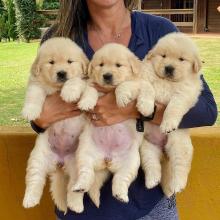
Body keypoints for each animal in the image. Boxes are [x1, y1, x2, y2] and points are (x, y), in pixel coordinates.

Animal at [21, 37, 101, 213]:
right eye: (51, 62)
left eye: (70, 61)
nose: (62, 73)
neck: (57, 87)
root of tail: (60, 161)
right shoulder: (36, 84)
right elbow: (34, 95)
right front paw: (30, 111)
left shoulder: (84, 81)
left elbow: (76, 80)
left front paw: (69, 92)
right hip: (38, 158)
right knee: (34, 180)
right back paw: (30, 200)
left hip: (77, 163)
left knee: (74, 187)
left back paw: (76, 205)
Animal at [71, 43, 151, 203]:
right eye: (100, 65)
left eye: (118, 65)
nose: (107, 75)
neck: (109, 89)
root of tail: (107, 160)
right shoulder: (92, 83)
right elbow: (90, 90)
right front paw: (86, 103)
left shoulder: (136, 83)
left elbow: (125, 85)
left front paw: (122, 97)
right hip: (84, 153)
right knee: (86, 171)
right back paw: (81, 186)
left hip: (132, 162)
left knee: (121, 178)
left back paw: (120, 195)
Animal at [139, 32, 203, 198]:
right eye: (163, 56)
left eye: (181, 59)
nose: (169, 68)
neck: (167, 82)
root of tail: (163, 147)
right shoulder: (146, 79)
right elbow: (147, 89)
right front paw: (146, 107)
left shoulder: (184, 94)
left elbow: (173, 107)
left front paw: (168, 124)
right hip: (146, 145)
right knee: (151, 162)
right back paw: (152, 180)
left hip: (179, 145)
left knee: (180, 166)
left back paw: (177, 185)